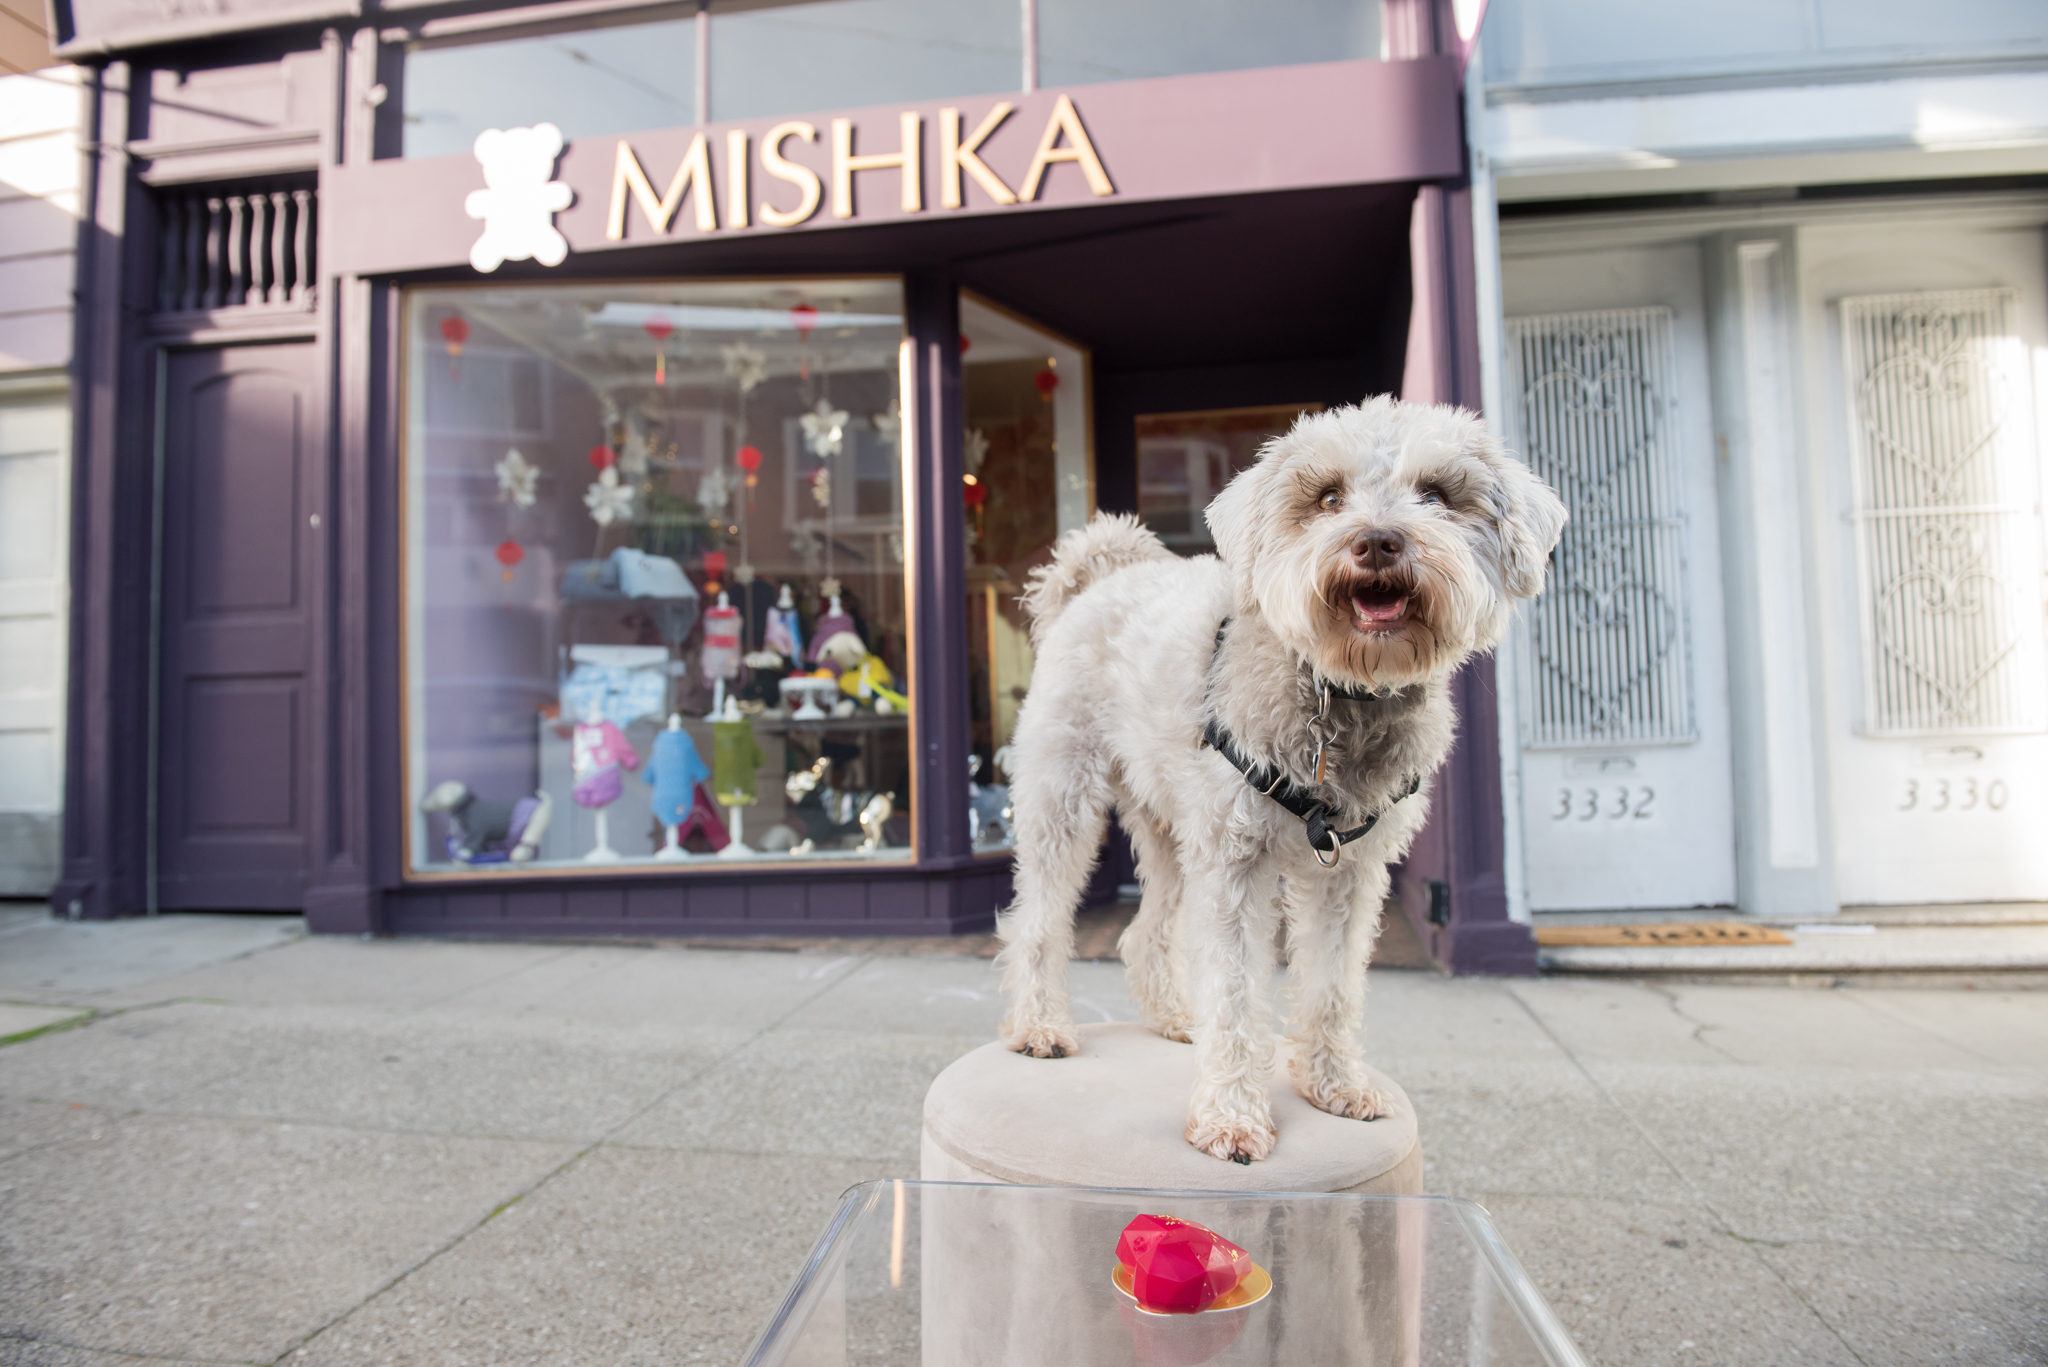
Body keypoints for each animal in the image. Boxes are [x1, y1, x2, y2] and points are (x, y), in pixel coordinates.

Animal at [999, 395, 1556, 1164]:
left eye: (1437, 495)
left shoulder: (1349, 873)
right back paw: (1040, 1027)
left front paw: (1335, 1085)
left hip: (1172, 827)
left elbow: (1331, 985)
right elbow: (1236, 994)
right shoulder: (1235, 865)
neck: (1337, 692)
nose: (1379, 542)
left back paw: (1175, 1017)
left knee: (1145, 933)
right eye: (1327, 498)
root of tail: (1101, 580)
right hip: (1063, 801)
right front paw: (1232, 1117)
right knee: (1038, 922)